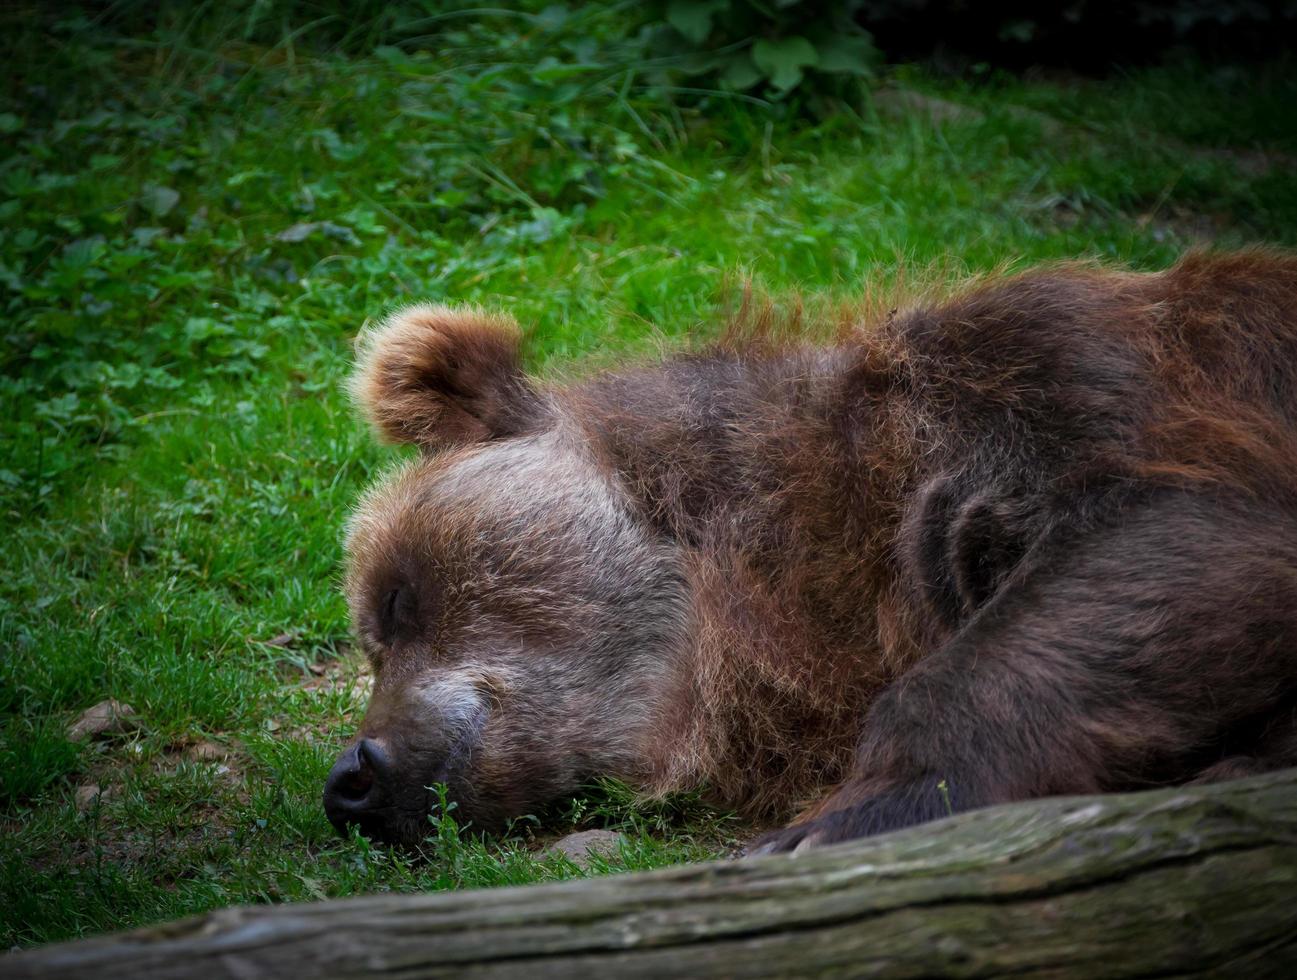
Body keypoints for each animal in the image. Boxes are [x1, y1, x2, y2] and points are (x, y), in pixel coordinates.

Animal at [319, 248, 1297, 855]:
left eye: (397, 600)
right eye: (374, 638)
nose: (350, 778)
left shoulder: (1087, 380)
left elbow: (1182, 534)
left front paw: (836, 820)